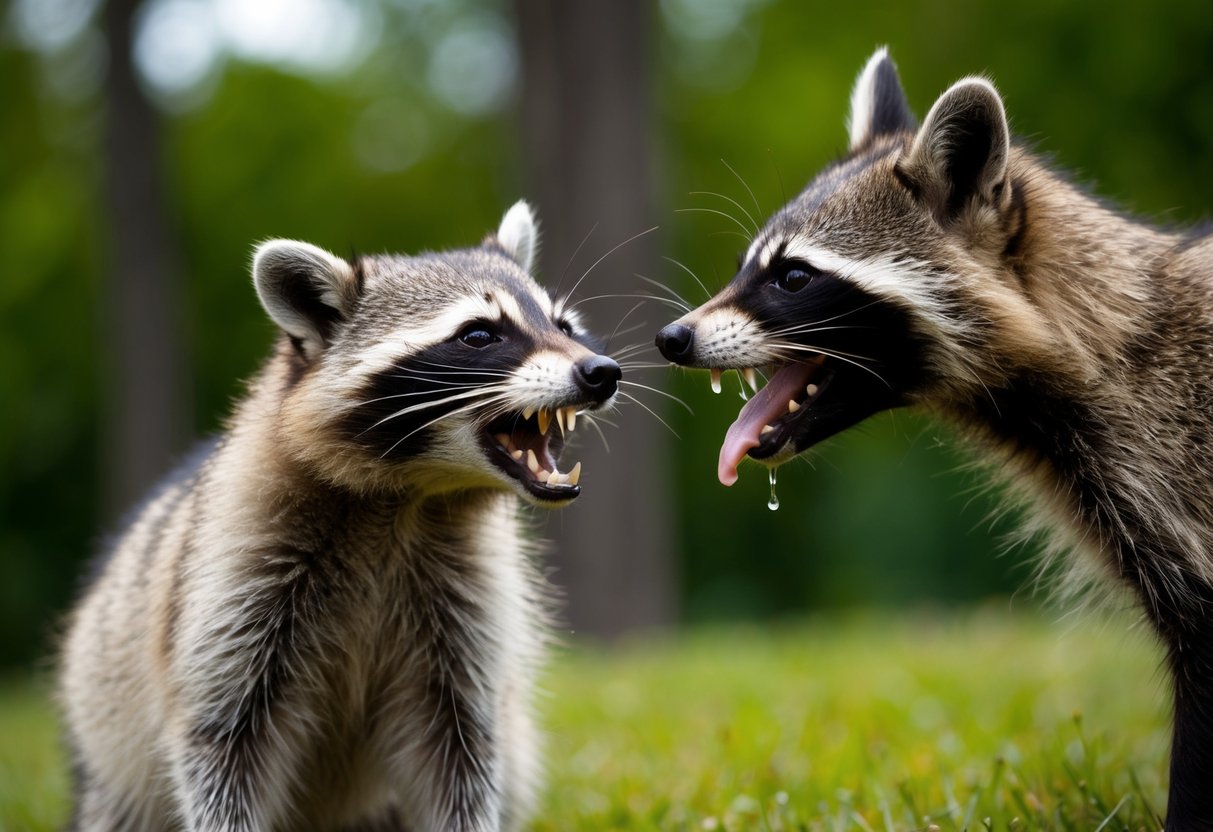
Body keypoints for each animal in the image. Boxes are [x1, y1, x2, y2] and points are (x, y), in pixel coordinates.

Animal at [59, 201, 621, 832]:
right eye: (479, 334)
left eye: (563, 327)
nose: (602, 371)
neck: (412, 497)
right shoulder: (232, 579)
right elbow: (221, 745)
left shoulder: (466, 609)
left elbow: (461, 754)